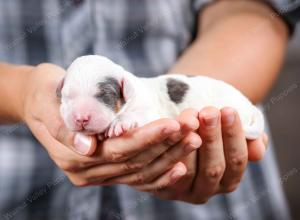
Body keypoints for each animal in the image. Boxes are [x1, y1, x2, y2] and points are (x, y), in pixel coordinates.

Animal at [57, 55, 264, 140]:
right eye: (67, 97)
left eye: (104, 95)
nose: (81, 118)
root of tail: (250, 106)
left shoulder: (149, 110)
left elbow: (138, 115)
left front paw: (118, 123)